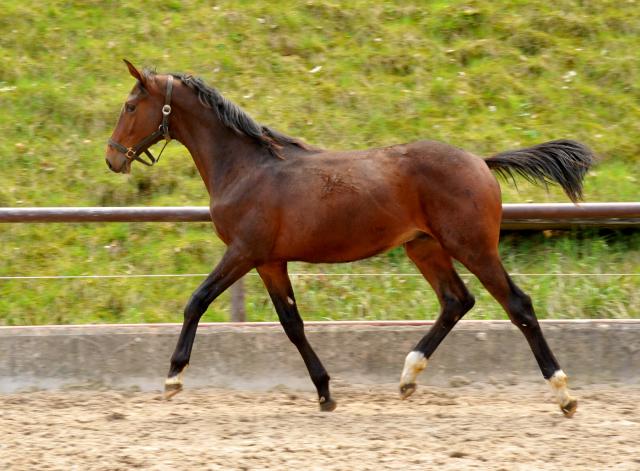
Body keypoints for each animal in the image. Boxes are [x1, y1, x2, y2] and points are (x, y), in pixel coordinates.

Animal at [106, 60, 596, 418]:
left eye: (129, 106)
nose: (112, 158)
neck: (246, 167)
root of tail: (480, 160)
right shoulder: (269, 261)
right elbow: (292, 324)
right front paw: (325, 393)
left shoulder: (244, 252)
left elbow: (197, 301)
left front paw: (173, 378)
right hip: (425, 247)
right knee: (456, 301)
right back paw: (408, 376)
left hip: (472, 247)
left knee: (518, 305)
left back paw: (563, 393)